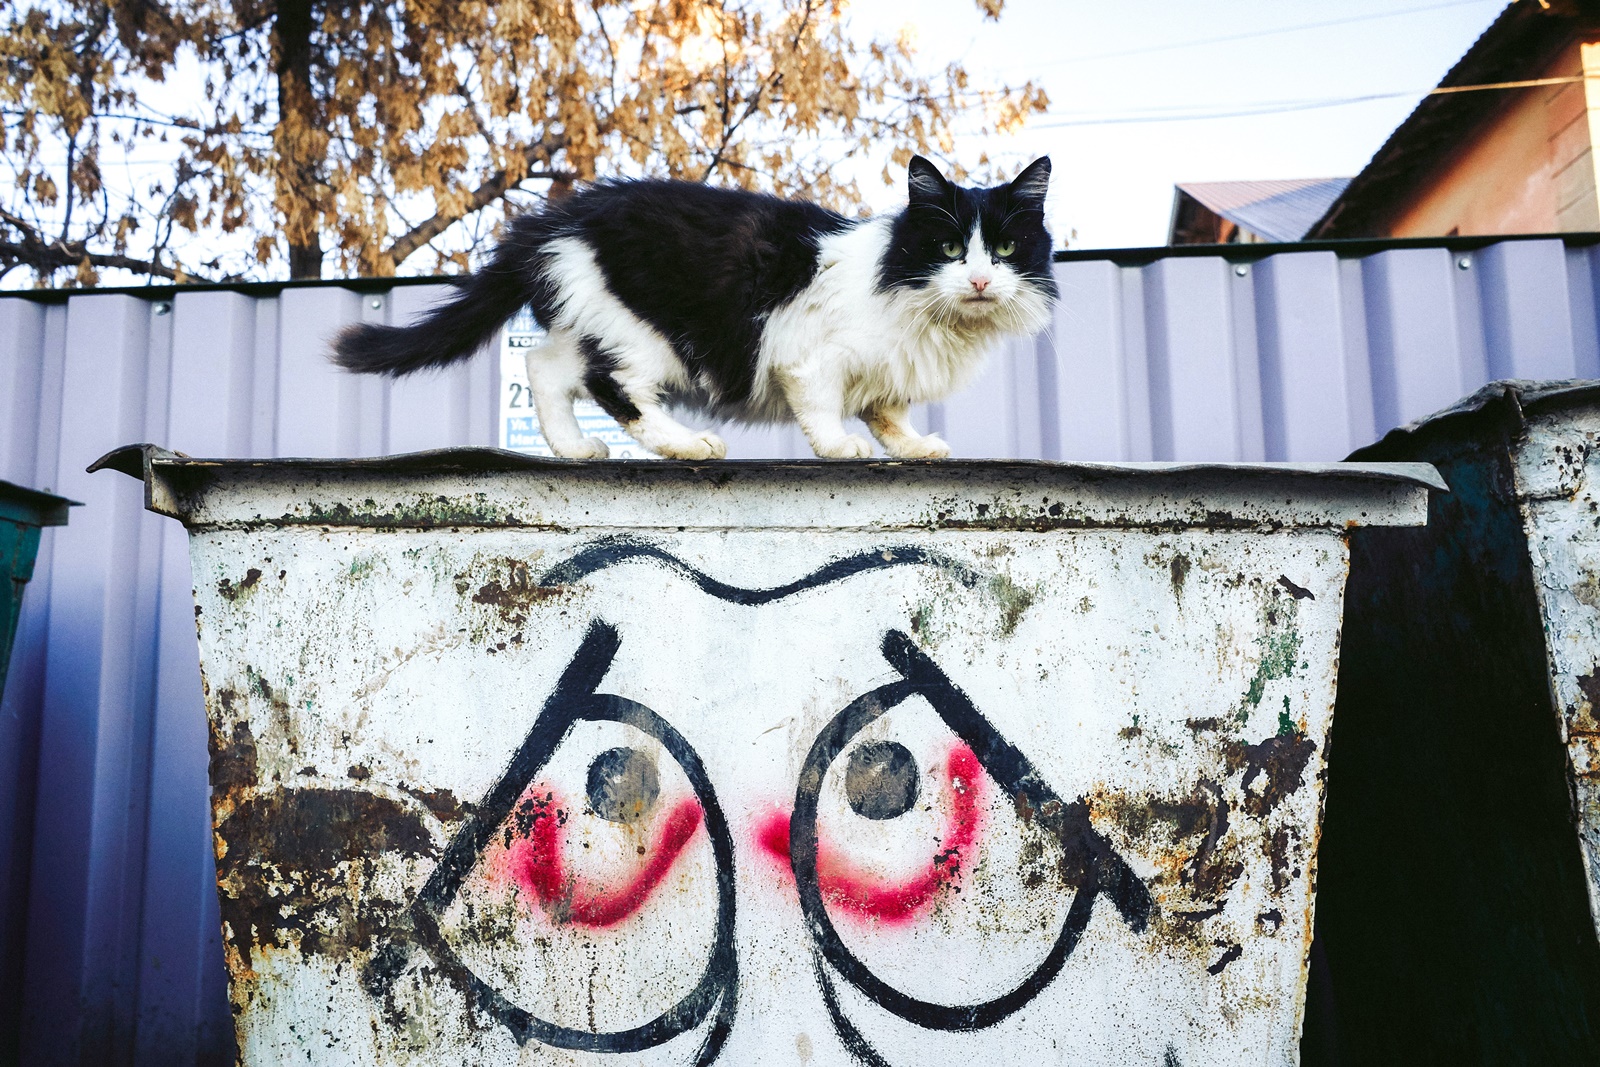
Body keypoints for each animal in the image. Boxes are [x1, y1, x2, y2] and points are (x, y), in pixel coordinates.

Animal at [332, 155, 1056, 460]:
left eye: (1005, 247)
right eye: (949, 247)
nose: (981, 280)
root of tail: (558, 217)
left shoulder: (887, 371)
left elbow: (889, 411)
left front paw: (912, 446)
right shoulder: (808, 356)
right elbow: (825, 408)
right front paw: (838, 447)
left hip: (600, 318)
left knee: (544, 368)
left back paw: (575, 450)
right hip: (649, 336)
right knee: (616, 389)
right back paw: (687, 445)